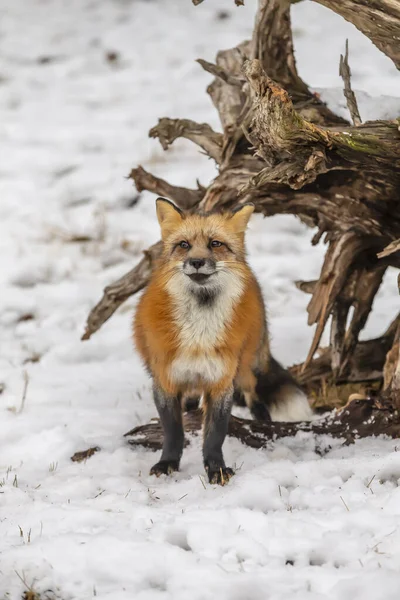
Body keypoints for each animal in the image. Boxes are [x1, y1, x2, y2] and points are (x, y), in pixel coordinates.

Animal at [134, 199, 312, 486]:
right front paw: (168, 462)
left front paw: (216, 469)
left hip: (247, 364)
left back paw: (262, 419)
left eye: (215, 243)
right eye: (183, 245)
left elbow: (215, 435)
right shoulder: (165, 380)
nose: (196, 261)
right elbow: (173, 431)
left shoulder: (221, 381)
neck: (199, 335)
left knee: (252, 391)